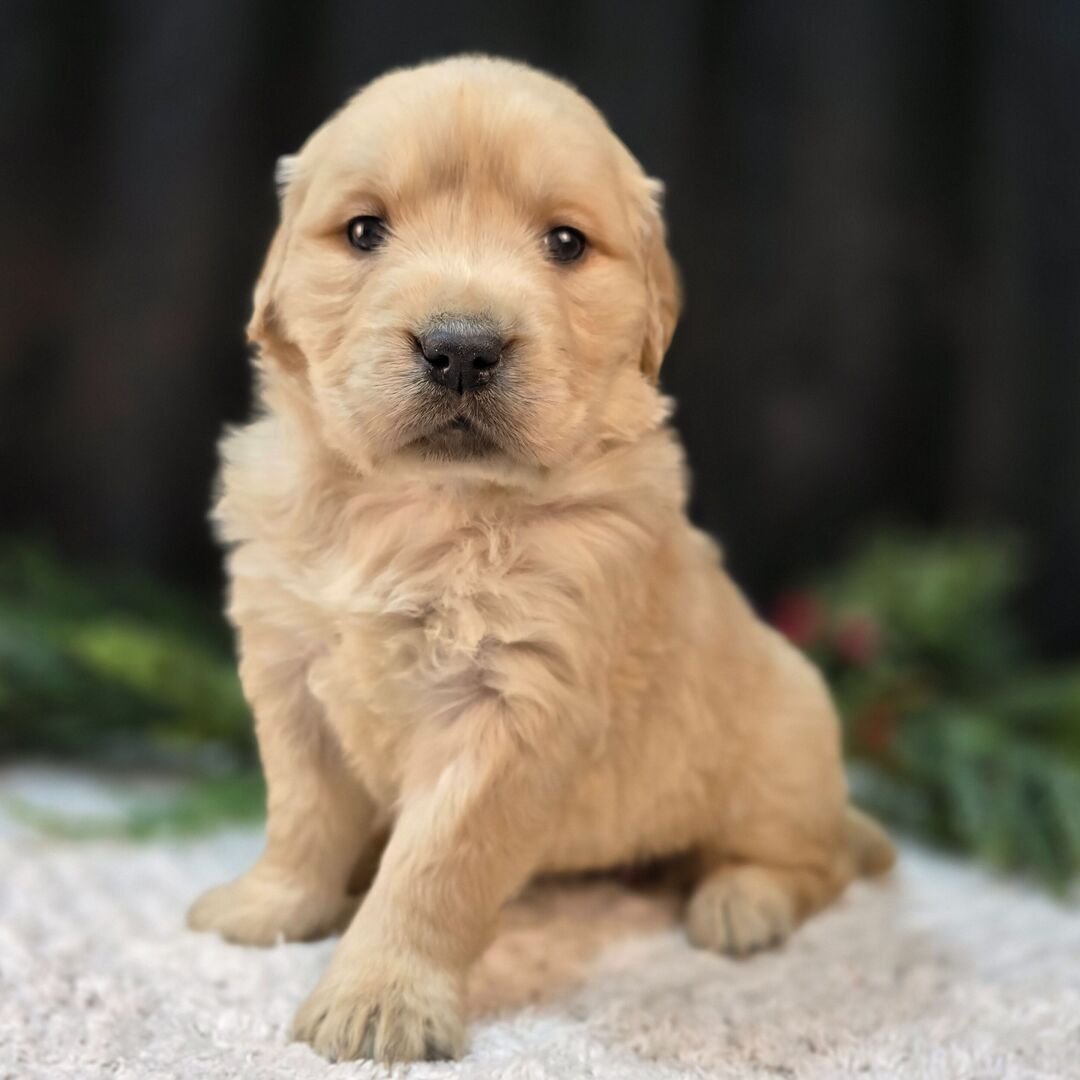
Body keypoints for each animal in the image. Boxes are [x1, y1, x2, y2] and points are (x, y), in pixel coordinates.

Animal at [187, 55, 895, 1063]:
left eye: (565, 242)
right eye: (364, 231)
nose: (461, 349)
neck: (418, 509)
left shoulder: (513, 710)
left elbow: (434, 865)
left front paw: (379, 997)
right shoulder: (289, 672)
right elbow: (302, 812)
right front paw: (272, 905)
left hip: (783, 747)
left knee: (814, 859)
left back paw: (741, 901)